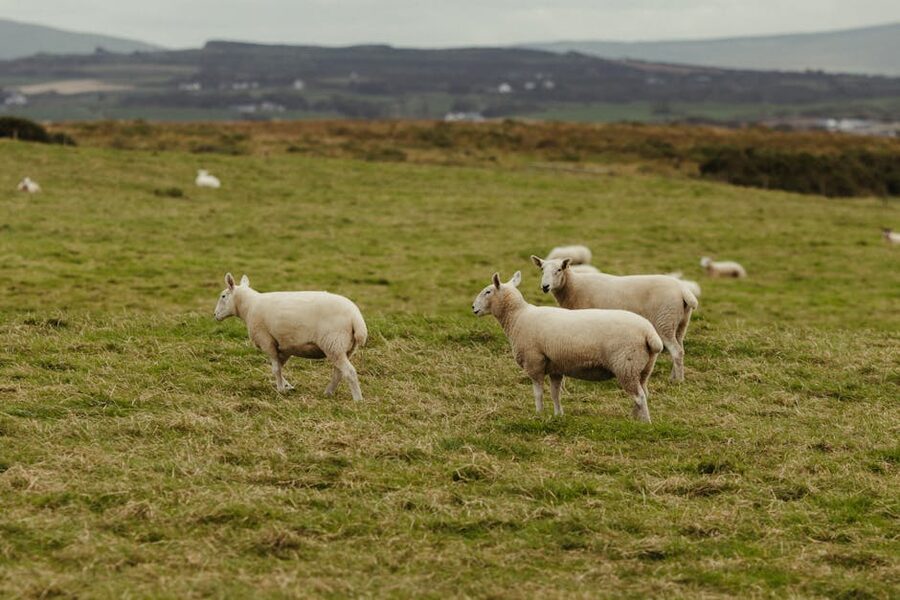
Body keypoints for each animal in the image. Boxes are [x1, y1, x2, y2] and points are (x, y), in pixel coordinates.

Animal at [214, 273, 367, 399]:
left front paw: (281, 390)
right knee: (338, 373)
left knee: (349, 372)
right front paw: (288, 386)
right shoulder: (285, 345)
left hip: (333, 343)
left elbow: (276, 369)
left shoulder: (267, 340)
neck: (249, 307)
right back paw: (328, 393)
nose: (215, 315)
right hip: (345, 348)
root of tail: (356, 317)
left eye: (223, 296)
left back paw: (358, 400)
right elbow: (279, 367)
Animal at [472, 271, 662, 421]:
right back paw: (635, 419)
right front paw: (558, 415)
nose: (473, 308)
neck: (518, 317)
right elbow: (555, 393)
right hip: (643, 368)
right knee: (643, 394)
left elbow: (538, 393)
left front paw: (538, 415)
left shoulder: (534, 362)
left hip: (626, 365)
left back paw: (645, 423)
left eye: (488, 291)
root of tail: (649, 333)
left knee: (639, 397)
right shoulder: (555, 366)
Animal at [531, 256, 697, 382]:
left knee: (676, 350)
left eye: (559, 270)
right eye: (542, 269)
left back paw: (678, 381)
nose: (545, 286)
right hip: (680, 322)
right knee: (680, 349)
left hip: (665, 320)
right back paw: (675, 376)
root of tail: (683, 290)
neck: (573, 287)